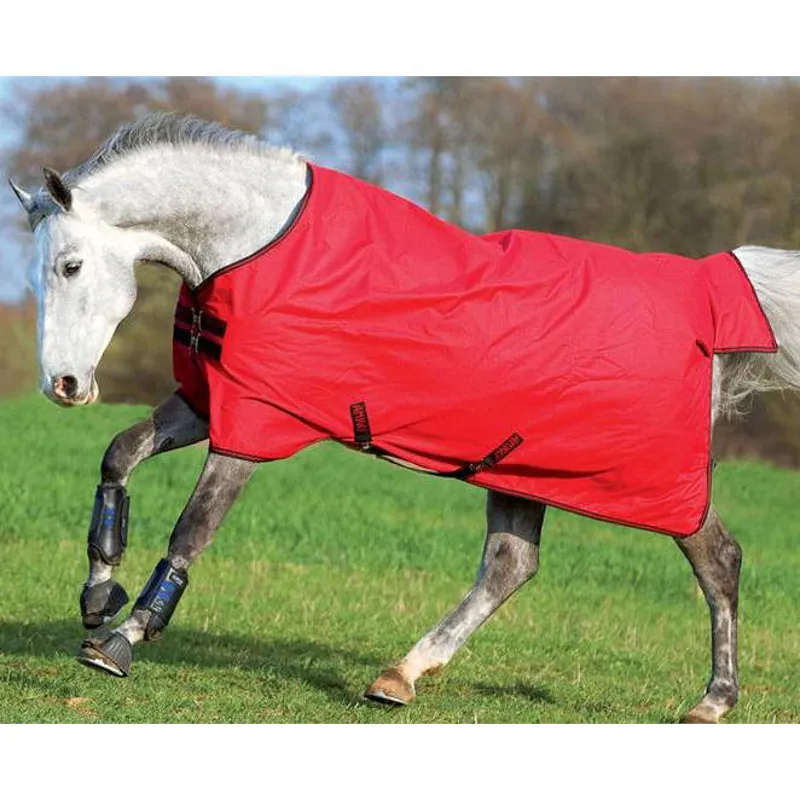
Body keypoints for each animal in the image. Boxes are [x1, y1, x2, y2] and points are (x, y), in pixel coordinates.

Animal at [9, 112, 800, 724]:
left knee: (718, 559)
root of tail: (709, 295)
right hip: (518, 464)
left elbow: (192, 530)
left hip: (653, 480)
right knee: (510, 565)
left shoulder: (255, 424)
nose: (64, 385)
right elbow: (119, 454)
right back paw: (400, 676)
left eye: (71, 266)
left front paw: (122, 639)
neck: (256, 244)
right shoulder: (214, 400)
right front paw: (97, 592)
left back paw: (713, 700)